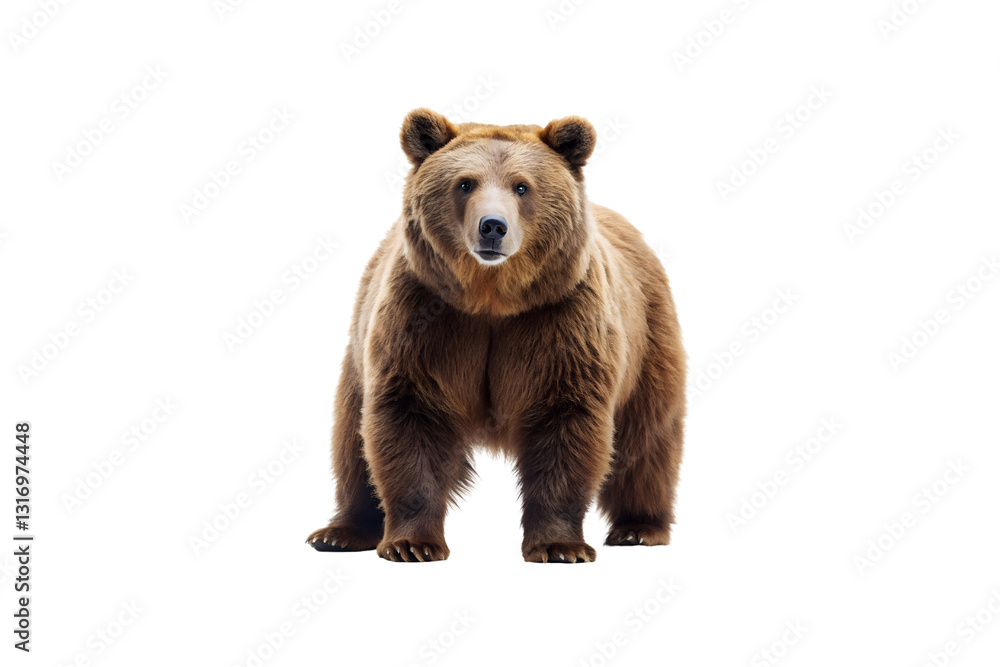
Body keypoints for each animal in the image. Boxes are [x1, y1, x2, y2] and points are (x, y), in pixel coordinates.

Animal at [307, 109, 686, 563]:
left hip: (649, 338)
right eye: (465, 182)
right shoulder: (426, 318)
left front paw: (560, 545)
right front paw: (411, 543)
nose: (493, 227)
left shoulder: (560, 320)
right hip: (358, 347)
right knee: (351, 440)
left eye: (521, 186)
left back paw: (639, 527)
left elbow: (566, 421)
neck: (492, 299)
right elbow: (410, 416)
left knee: (646, 438)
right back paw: (339, 532)